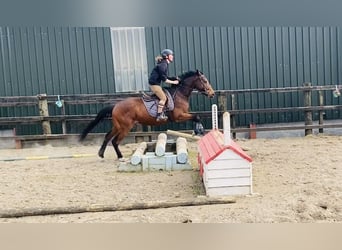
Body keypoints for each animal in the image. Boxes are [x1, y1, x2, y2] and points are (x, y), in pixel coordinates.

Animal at [79, 70, 215, 160]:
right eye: (205, 80)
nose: (212, 93)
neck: (180, 93)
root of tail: (116, 106)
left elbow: (196, 117)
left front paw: (198, 130)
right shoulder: (178, 116)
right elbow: (197, 116)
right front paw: (199, 130)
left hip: (117, 126)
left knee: (108, 137)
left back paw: (102, 154)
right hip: (125, 127)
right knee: (115, 141)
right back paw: (120, 156)